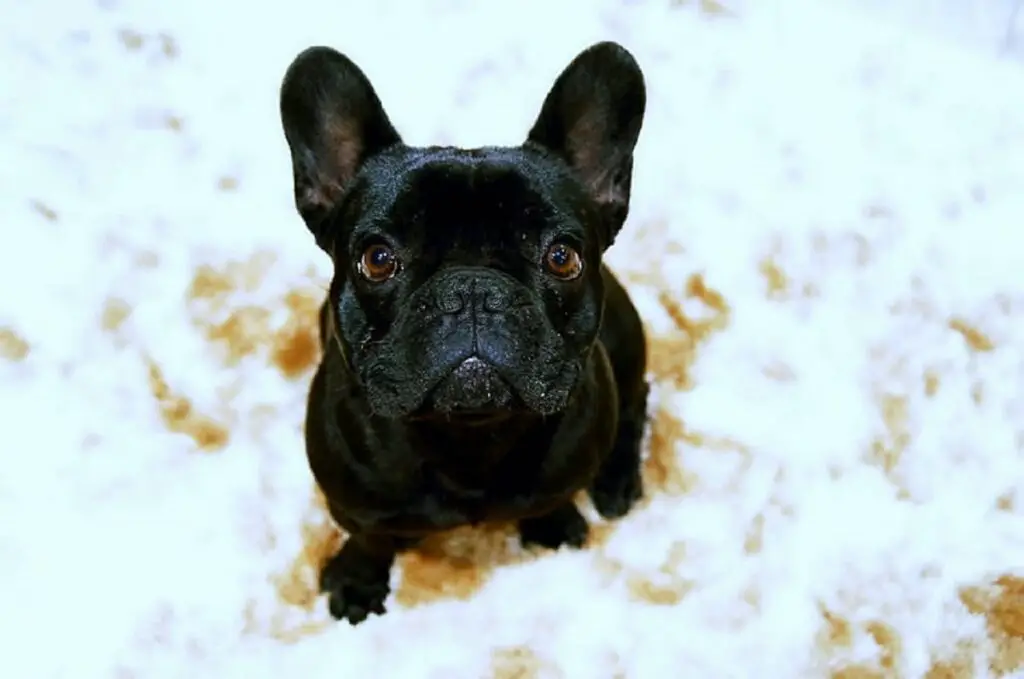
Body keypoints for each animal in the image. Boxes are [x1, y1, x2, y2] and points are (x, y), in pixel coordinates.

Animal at [280, 39, 647, 622]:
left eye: (562, 257)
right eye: (376, 259)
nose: (473, 290)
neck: (467, 437)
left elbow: (552, 498)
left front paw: (553, 527)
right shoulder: (354, 504)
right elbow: (370, 538)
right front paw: (359, 580)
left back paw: (616, 483)